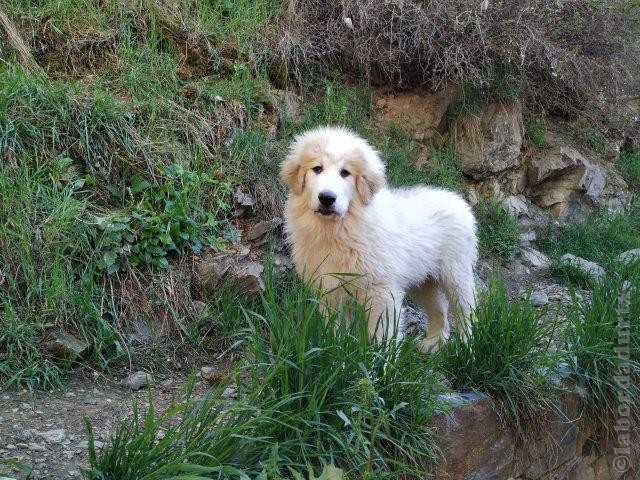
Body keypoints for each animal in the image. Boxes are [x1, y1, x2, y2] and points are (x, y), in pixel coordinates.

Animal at [278, 126, 476, 352]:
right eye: (317, 169)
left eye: (345, 173)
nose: (327, 198)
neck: (338, 231)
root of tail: (457, 199)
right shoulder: (329, 288)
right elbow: (335, 329)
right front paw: (339, 349)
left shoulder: (381, 290)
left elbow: (383, 333)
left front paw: (380, 358)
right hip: (423, 280)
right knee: (439, 309)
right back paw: (433, 343)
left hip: (456, 272)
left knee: (465, 310)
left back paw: (467, 346)